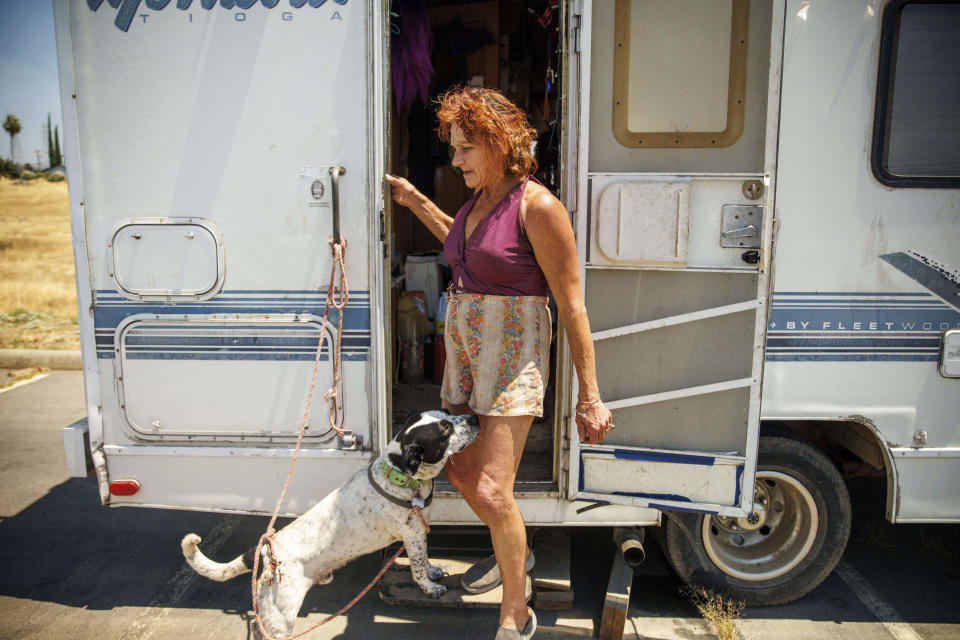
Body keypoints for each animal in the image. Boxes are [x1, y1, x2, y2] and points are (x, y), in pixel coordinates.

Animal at [180, 410, 480, 640]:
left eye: (448, 414)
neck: (399, 476)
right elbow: (417, 569)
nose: (475, 417)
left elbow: (425, 560)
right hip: (281, 613)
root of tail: (264, 551)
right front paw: (430, 588)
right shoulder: (412, 535)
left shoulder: (419, 533)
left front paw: (434, 571)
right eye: (444, 430)